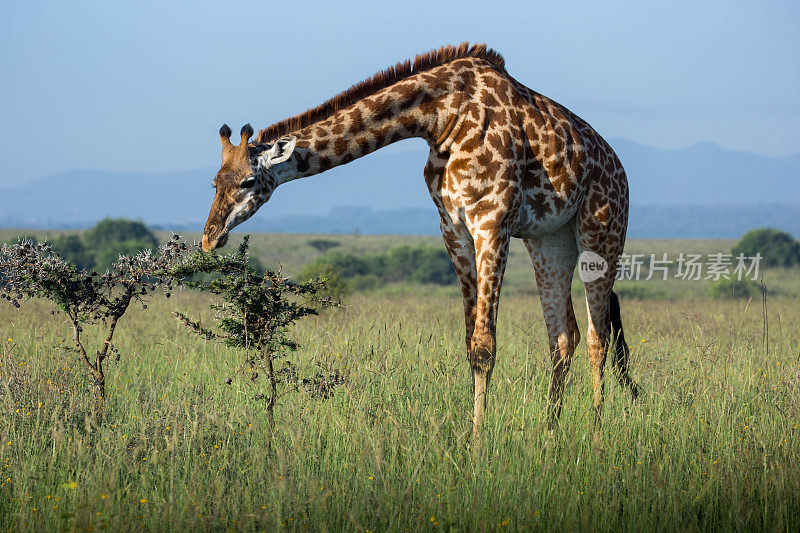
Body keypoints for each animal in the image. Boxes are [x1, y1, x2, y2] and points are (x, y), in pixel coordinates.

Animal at [203, 42, 640, 436]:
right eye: (214, 182)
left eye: (247, 181)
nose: (210, 238)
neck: (440, 119)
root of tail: (619, 168)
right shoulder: (453, 227)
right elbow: (471, 346)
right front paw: (473, 436)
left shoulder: (492, 222)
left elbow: (485, 346)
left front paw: (477, 447)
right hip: (550, 240)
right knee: (563, 337)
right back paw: (550, 433)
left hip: (602, 232)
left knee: (598, 336)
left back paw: (596, 434)